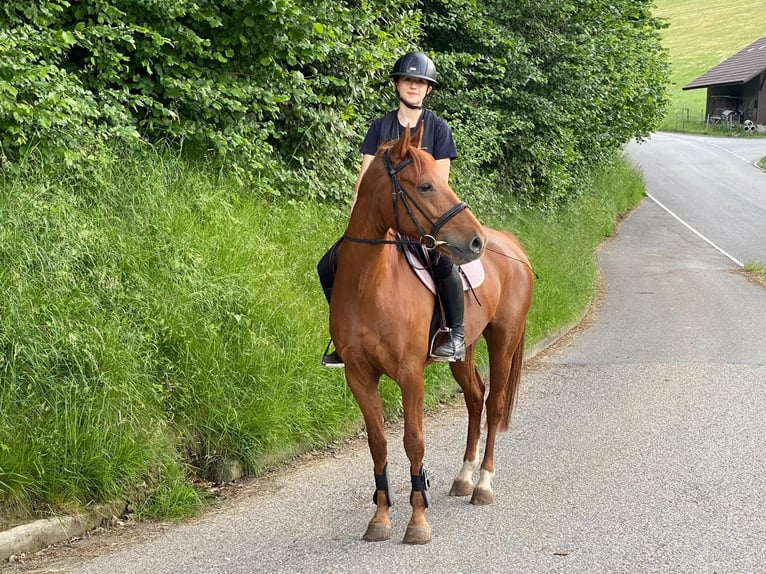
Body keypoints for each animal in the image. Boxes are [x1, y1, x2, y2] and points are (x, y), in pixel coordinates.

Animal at [329, 124, 534, 544]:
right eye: (424, 186)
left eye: (441, 180)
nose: (475, 241)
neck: (369, 284)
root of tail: (511, 243)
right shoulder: (358, 375)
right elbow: (378, 443)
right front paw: (380, 516)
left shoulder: (410, 374)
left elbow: (413, 440)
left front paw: (418, 520)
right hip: (463, 351)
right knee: (475, 397)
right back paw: (464, 476)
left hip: (503, 340)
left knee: (495, 403)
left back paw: (483, 484)